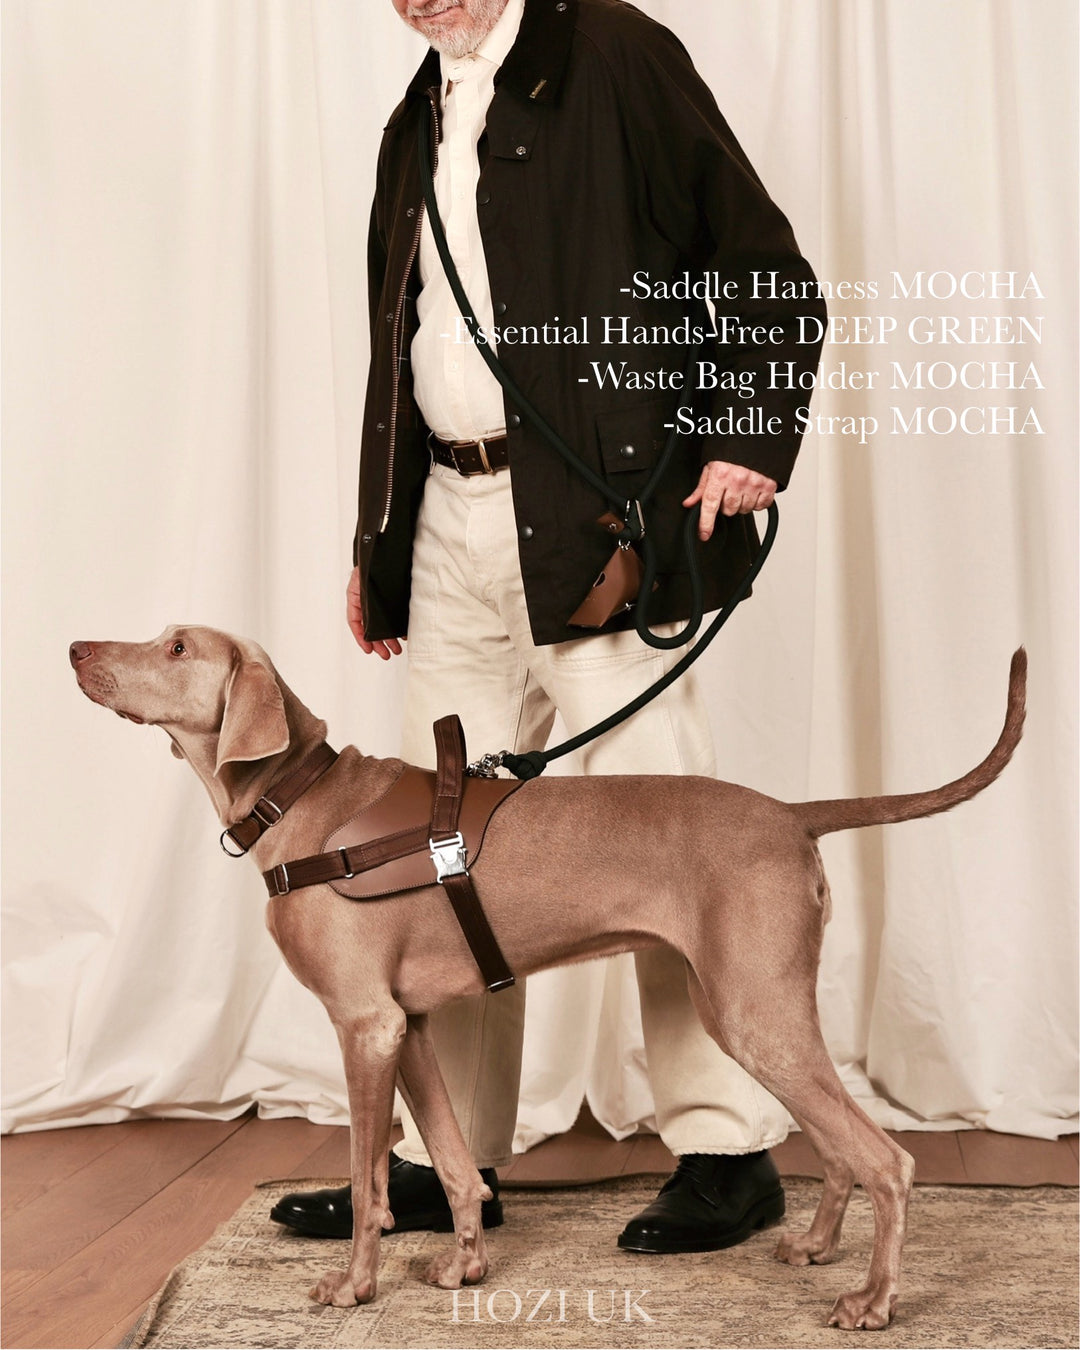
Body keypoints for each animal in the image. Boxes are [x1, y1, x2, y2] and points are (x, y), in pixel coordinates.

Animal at [70, 626, 1025, 1329]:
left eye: (178, 647)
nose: (76, 648)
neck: (302, 803)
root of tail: (792, 814)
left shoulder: (364, 1024)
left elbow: (368, 1178)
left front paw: (354, 1288)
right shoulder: (410, 1026)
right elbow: (454, 1165)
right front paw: (465, 1265)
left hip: (754, 1010)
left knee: (888, 1159)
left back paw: (872, 1300)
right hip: (751, 1011)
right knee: (836, 1145)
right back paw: (817, 1247)